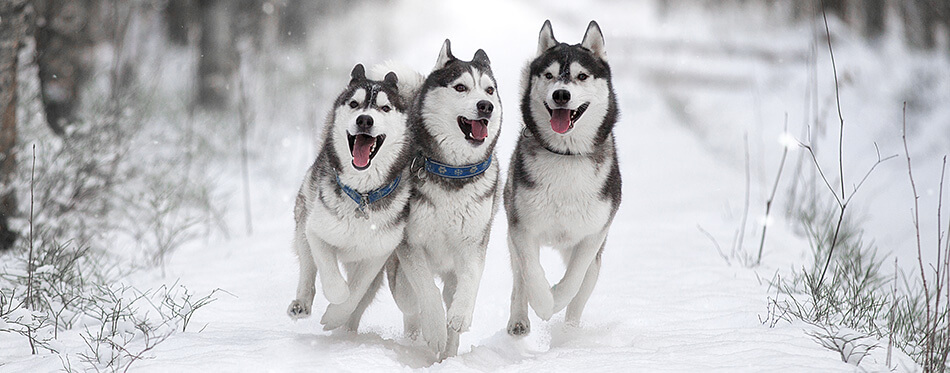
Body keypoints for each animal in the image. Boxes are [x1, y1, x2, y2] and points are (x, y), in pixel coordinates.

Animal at [282, 64, 416, 332]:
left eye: (385, 108)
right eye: (354, 104)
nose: (364, 119)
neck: (362, 195)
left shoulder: (378, 253)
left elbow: (356, 292)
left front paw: (336, 315)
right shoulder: (316, 232)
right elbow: (334, 284)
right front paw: (336, 298)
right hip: (303, 221)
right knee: (307, 267)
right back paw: (301, 304)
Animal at [386, 40, 506, 358]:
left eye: (489, 90)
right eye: (461, 87)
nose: (486, 106)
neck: (452, 172)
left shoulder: (474, 243)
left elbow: (471, 279)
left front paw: (459, 316)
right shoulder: (411, 244)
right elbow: (425, 289)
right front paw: (435, 330)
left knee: (449, 294)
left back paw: (449, 353)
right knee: (410, 303)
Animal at [506, 18, 624, 336]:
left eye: (581, 76)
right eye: (549, 75)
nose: (561, 94)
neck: (566, 156)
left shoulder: (594, 234)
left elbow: (574, 280)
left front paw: (556, 298)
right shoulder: (522, 227)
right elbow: (531, 271)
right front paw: (544, 304)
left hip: (595, 259)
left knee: (582, 291)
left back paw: (570, 332)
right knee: (519, 278)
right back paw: (519, 320)